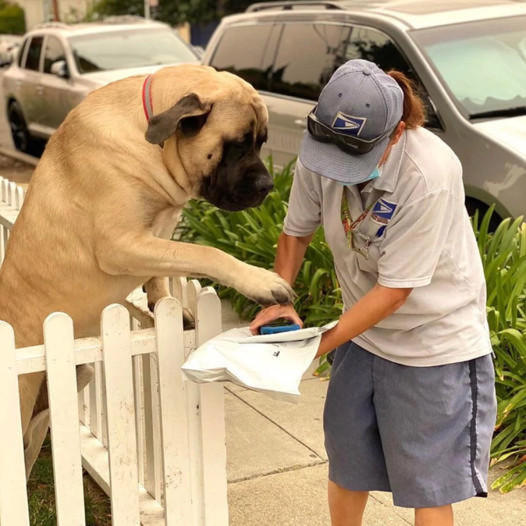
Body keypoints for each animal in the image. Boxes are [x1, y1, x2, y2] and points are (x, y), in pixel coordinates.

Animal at [0, 64, 294, 476]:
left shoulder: (157, 232)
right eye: (237, 144)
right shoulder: (120, 242)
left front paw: (165, 304)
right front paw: (261, 281)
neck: (155, 143)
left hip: (52, 407)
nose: (268, 186)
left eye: (262, 142)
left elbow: (168, 264)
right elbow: (202, 252)